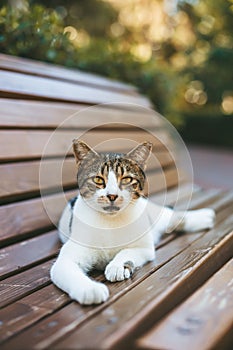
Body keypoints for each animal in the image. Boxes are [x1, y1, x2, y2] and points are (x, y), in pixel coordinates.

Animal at [50, 139, 215, 304]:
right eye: (98, 179)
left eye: (126, 179)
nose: (112, 195)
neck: (110, 221)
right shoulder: (66, 259)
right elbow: (67, 269)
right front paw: (90, 289)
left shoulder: (144, 247)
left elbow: (126, 251)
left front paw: (117, 266)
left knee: (170, 216)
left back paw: (203, 216)